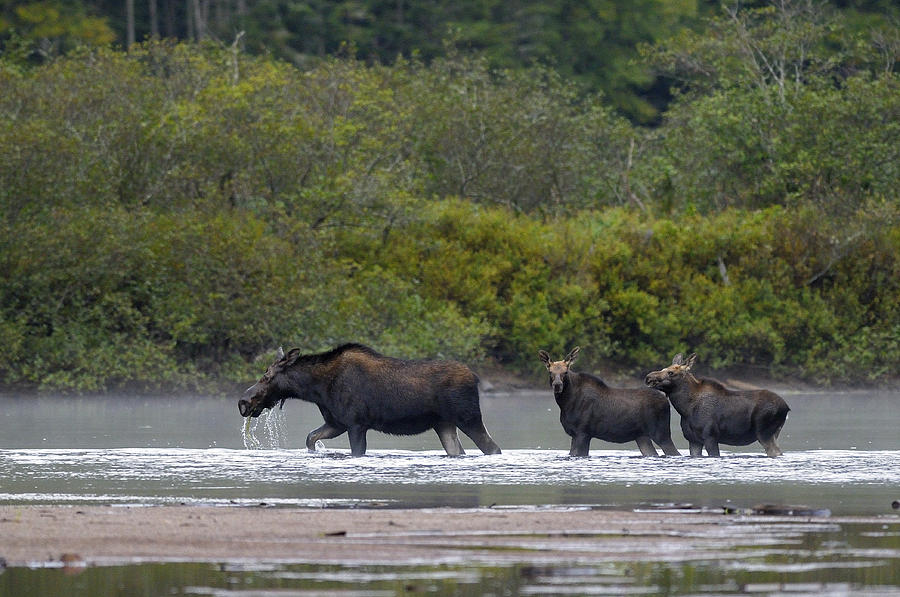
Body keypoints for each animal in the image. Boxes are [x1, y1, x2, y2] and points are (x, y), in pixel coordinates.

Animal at [236, 342, 502, 454]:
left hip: (468, 417)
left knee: (493, 448)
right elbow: (310, 438)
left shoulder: (356, 423)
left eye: (266, 375)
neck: (315, 390)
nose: (243, 402)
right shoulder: (336, 423)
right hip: (443, 424)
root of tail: (476, 378)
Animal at [536, 344, 680, 456]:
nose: (557, 385)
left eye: (565, 372)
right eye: (550, 372)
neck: (566, 403)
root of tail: (666, 400)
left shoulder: (582, 432)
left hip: (661, 432)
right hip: (642, 436)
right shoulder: (576, 433)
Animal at [644, 354, 792, 456]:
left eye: (671, 372)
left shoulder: (711, 437)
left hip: (764, 433)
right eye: (663, 368)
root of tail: (786, 407)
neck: (686, 408)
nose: (648, 377)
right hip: (774, 433)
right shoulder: (693, 440)